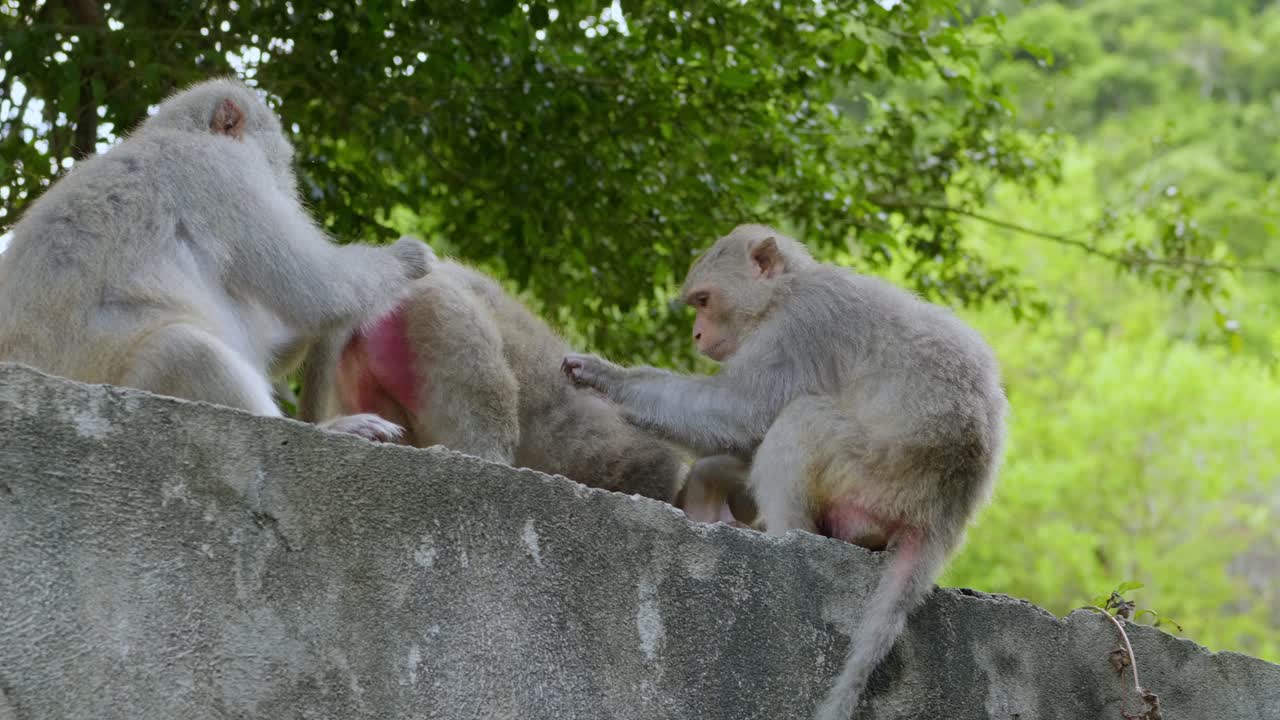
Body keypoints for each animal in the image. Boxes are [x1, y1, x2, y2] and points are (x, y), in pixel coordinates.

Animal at [0, 78, 433, 441]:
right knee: (186, 351)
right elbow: (318, 292)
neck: (178, 133)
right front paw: (410, 258)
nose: (289, 190)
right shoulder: (220, 174)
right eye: (278, 164)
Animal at [562, 224, 1008, 719]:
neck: (780, 294)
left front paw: (606, 377)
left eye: (703, 301)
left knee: (802, 419)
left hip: (876, 479)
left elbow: (744, 413)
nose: (697, 334)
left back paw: (785, 535)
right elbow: (740, 433)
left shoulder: (800, 325)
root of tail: (944, 517)